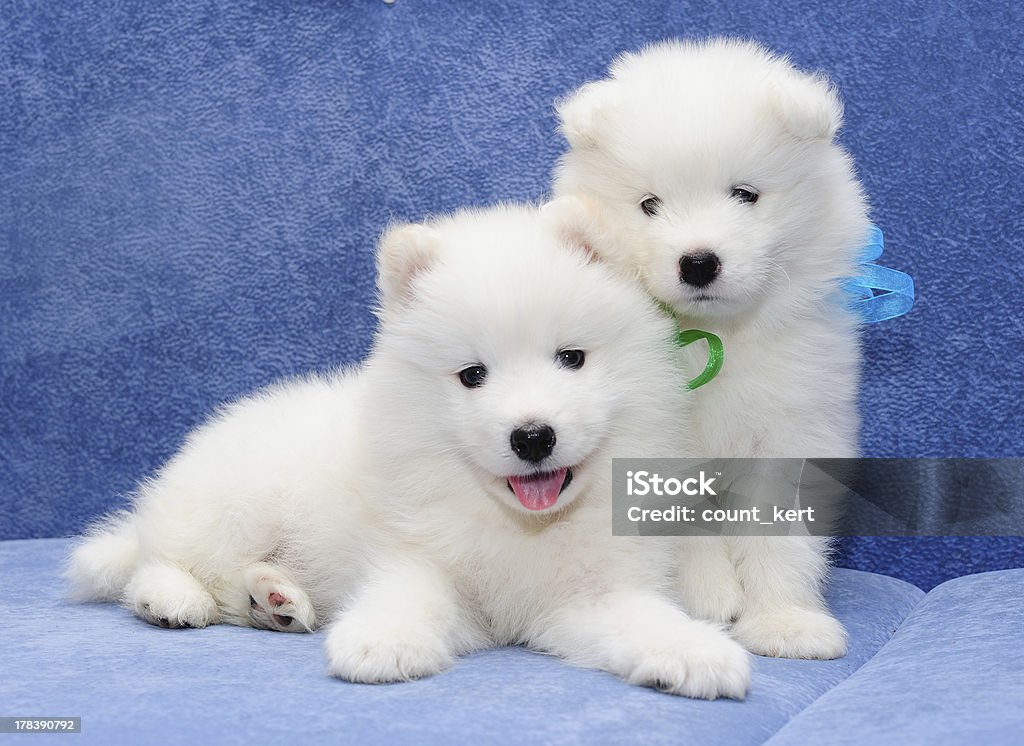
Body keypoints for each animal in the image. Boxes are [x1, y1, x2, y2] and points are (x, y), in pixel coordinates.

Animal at [68, 199, 749, 699]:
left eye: (572, 358)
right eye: (472, 375)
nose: (532, 437)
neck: (518, 525)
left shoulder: (590, 592)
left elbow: (642, 619)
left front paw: (695, 652)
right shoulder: (414, 551)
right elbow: (408, 592)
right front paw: (382, 642)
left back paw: (276, 598)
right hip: (237, 503)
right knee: (160, 558)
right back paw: (172, 597)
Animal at [552, 40, 872, 659]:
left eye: (744, 194)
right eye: (649, 204)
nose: (698, 262)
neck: (715, 340)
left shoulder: (790, 430)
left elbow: (780, 534)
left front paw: (785, 622)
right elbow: (683, 529)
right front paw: (706, 599)